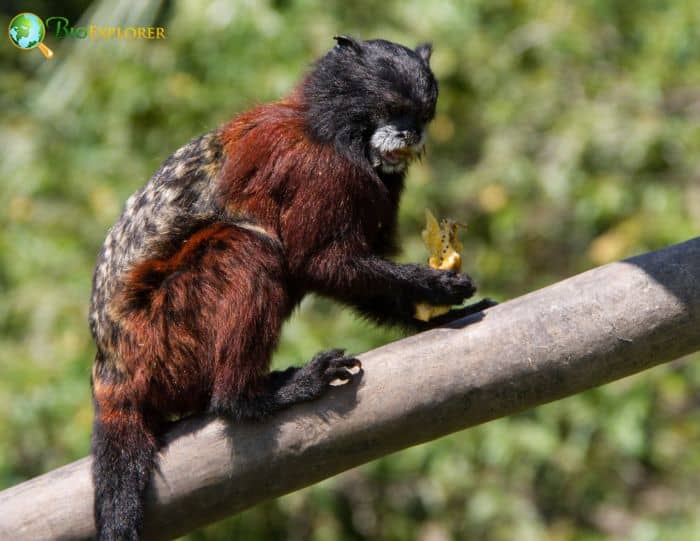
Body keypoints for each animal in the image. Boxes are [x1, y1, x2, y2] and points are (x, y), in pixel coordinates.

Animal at [89, 35, 486, 536]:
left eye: (421, 116)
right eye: (395, 110)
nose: (409, 135)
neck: (331, 130)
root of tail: (113, 368)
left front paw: (429, 314)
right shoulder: (315, 168)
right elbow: (318, 263)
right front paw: (435, 287)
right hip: (163, 340)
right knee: (249, 249)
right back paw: (250, 398)